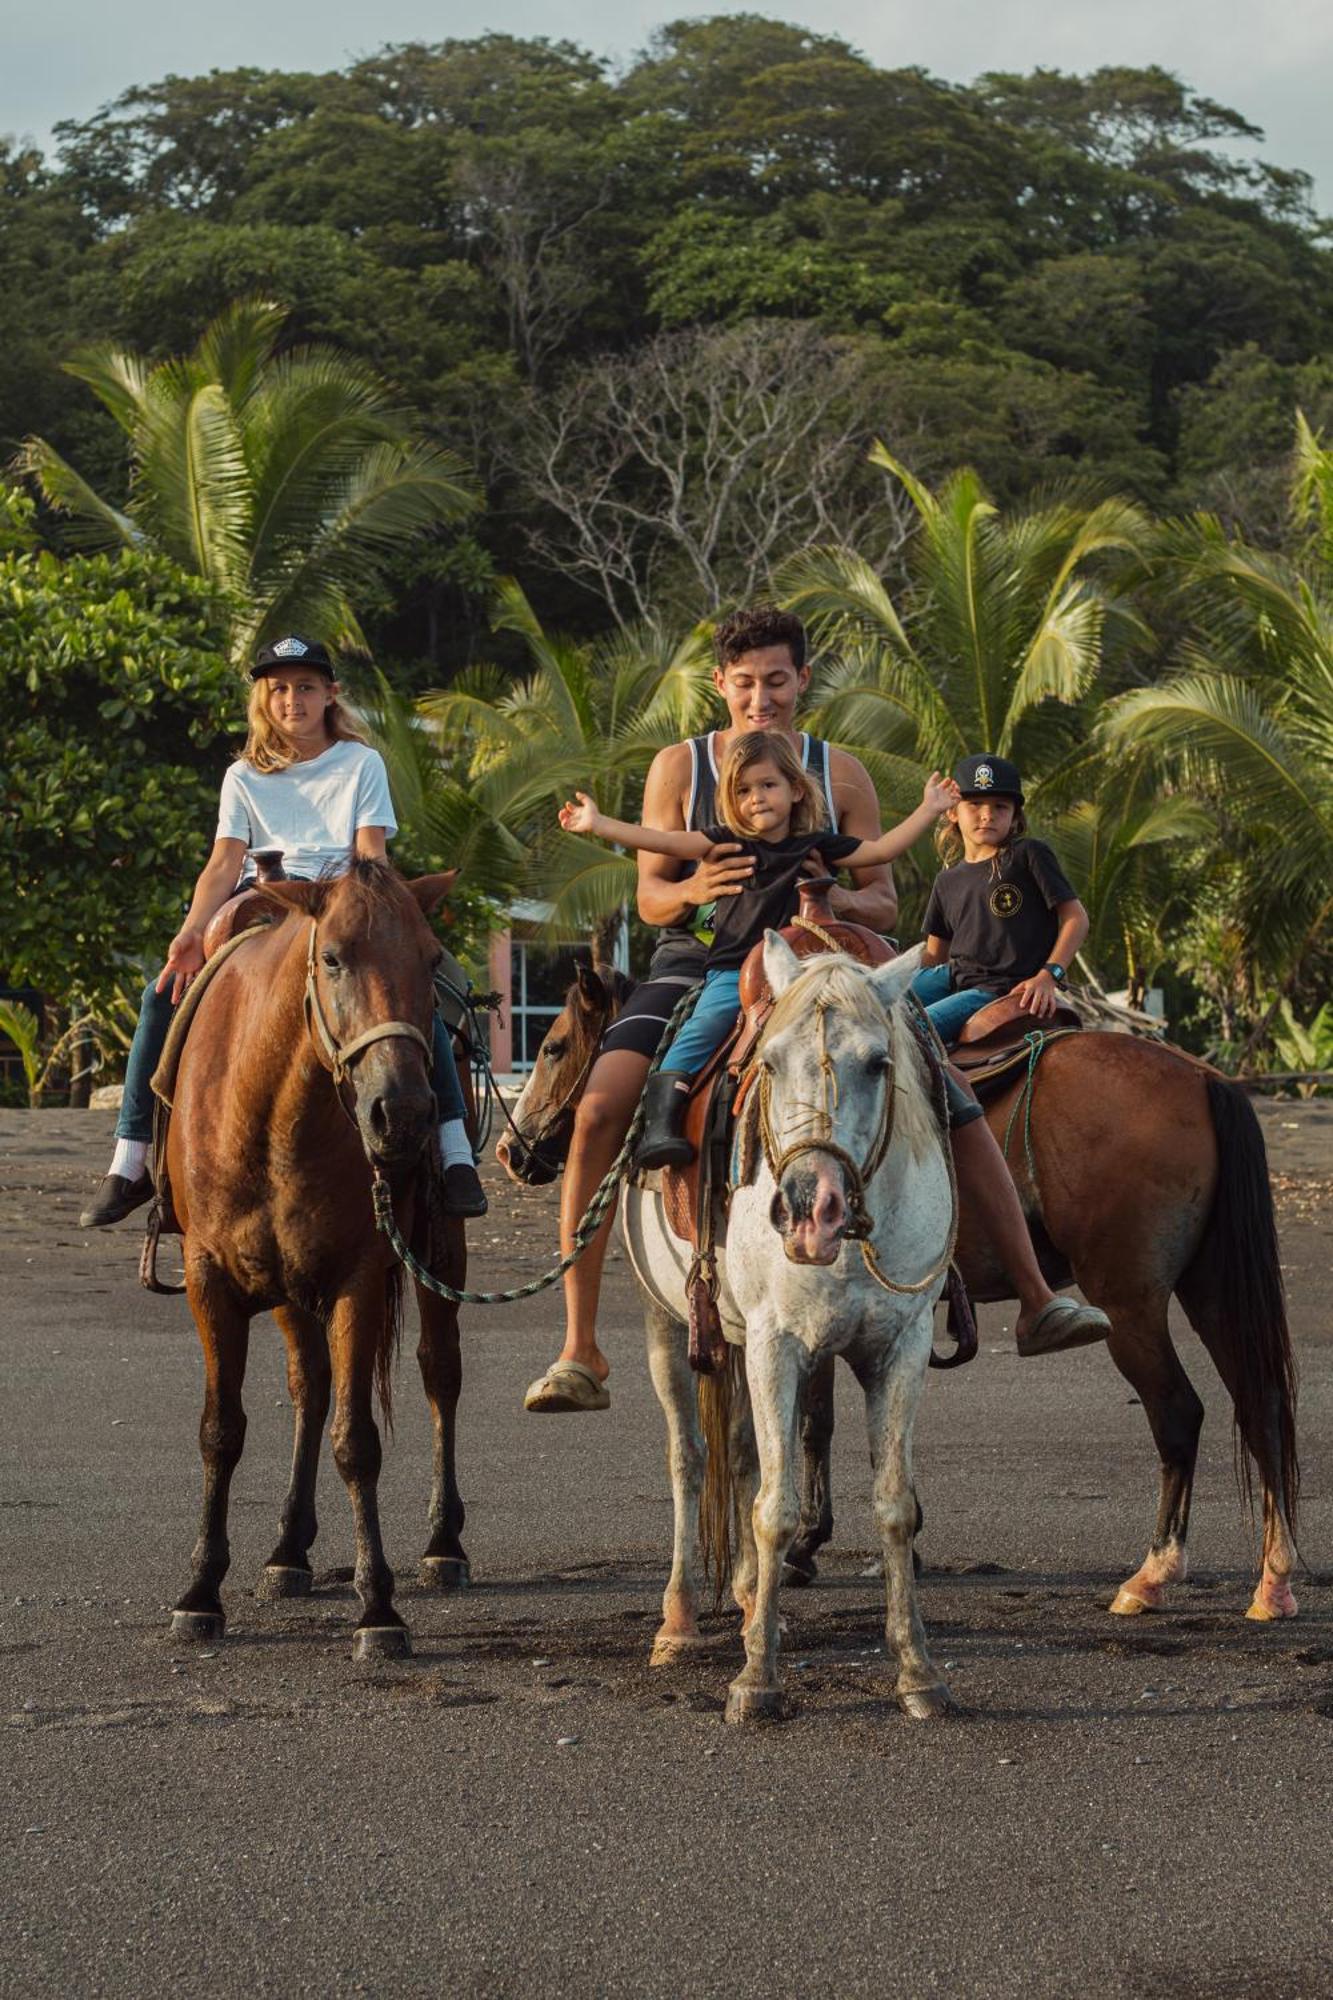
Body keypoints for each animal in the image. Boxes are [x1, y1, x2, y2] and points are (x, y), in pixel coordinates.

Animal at [165, 860, 466, 1656]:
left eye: (430, 959)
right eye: (331, 957)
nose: (404, 1113)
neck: (271, 1111)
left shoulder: (358, 1278)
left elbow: (357, 1441)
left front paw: (377, 1607)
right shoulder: (211, 1280)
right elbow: (221, 1430)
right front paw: (200, 1591)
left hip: (441, 1254)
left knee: (439, 1374)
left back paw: (443, 1543)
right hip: (288, 1290)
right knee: (310, 1386)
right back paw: (288, 1551)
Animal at [498, 968, 1296, 1624]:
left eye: (555, 1045)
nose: (513, 1151)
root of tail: (1204, 1080)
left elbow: (810, 1426)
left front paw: (804, 1546)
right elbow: (820, 1423)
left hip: (1129, 1301)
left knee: (1178, 1414)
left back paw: (1153, 1574)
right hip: (1207, 1289)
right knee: (1258, 1405)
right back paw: (1273, 1579)